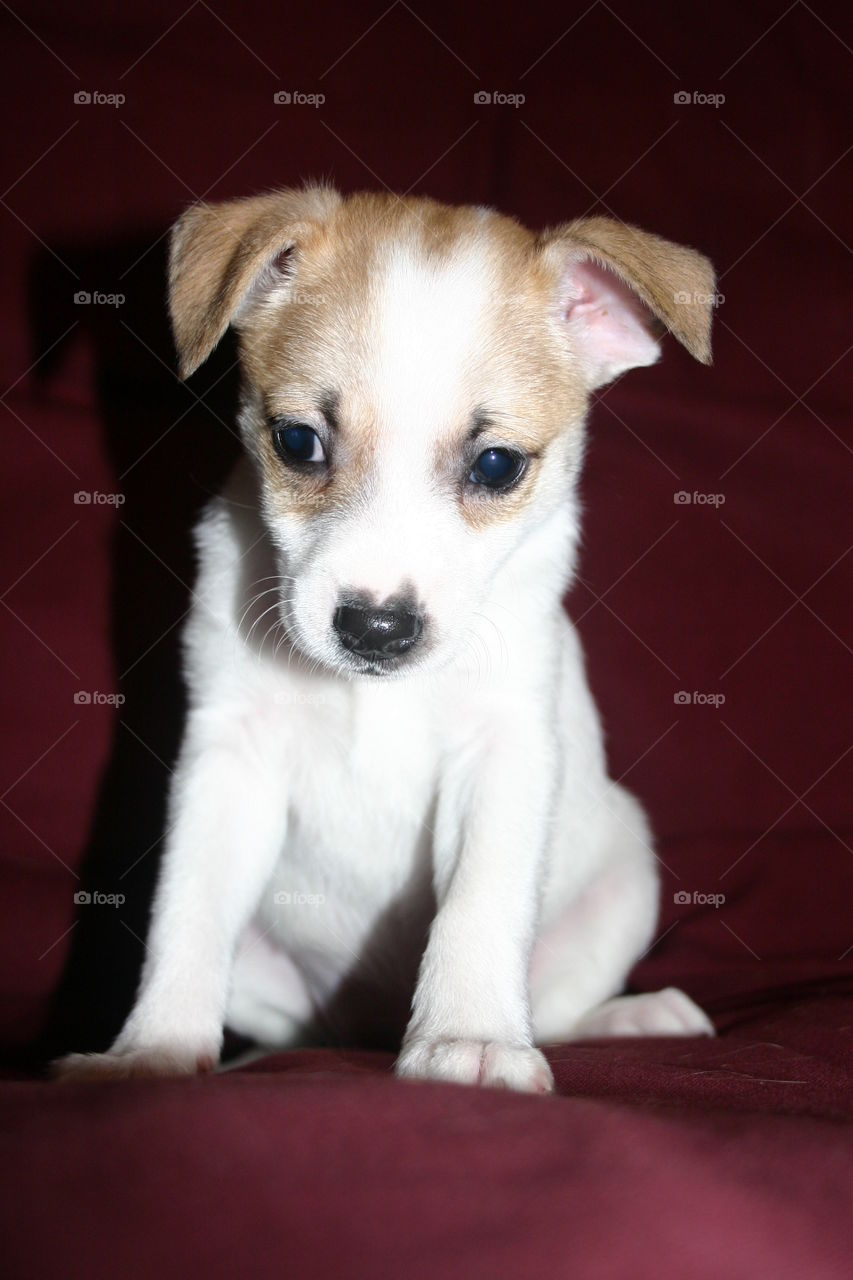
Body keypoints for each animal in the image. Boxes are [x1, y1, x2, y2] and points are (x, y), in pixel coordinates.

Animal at [56, 186, 712, 1090]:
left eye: (497, 465)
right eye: (297, 442)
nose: (374, 628)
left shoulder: (502, 755)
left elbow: (477, 905)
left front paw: (470, 1036)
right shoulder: (227, 763)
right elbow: (185, 918)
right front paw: (152, 1052)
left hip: (627, 879)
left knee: (559, 1005)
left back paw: (625, 1019)